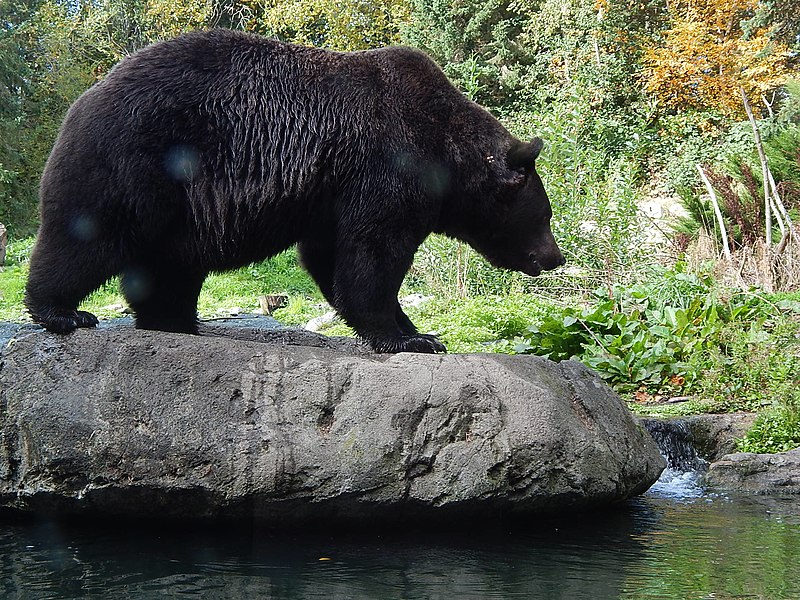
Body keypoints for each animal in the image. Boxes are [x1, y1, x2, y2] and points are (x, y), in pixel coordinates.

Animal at [23, 28, 564, 354]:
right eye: (545, 216)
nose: (555, 257)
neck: (447, 153)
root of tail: (82, 102)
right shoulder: (387, 167)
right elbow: (372, 255)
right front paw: (408, 337)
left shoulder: (329, 196)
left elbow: (330, 255)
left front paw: (420, 332)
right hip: (134, 162)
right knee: (87, 235)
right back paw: (64, 312)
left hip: (177, 209)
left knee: (168, 266)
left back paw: (175, 322)